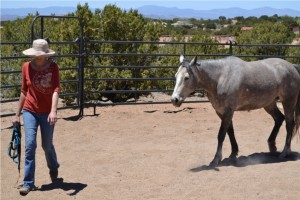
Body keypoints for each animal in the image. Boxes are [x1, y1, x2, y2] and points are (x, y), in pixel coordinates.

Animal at [171, 55, 300, 168]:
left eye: (186, 77)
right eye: (176, 76)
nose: (174, 99)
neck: (220, 78)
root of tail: (292, 67)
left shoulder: (228, 111)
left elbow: (221, 135)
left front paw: (216, 160)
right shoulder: (221, 112)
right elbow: (230, 132)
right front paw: (233, 153)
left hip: (288, 102)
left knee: (289, 124)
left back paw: (285, 152)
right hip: (269, 104)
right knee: (279, 119)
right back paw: (272, 145)